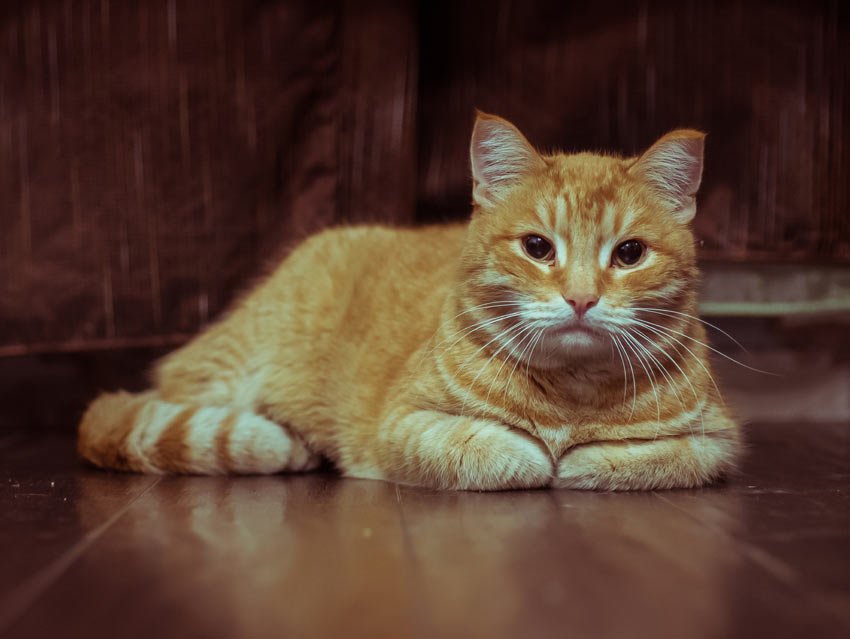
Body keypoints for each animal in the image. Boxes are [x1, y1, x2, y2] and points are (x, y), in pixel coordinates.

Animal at [79, 111, 736, 490]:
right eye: (537, 247)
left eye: (629, 254)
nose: (580, 298)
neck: (570, 392)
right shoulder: (403, 425)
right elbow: (499, 451)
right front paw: (542, 454)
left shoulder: (716, 443)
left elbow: (643, 457)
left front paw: (579, 458)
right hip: (225, 374)